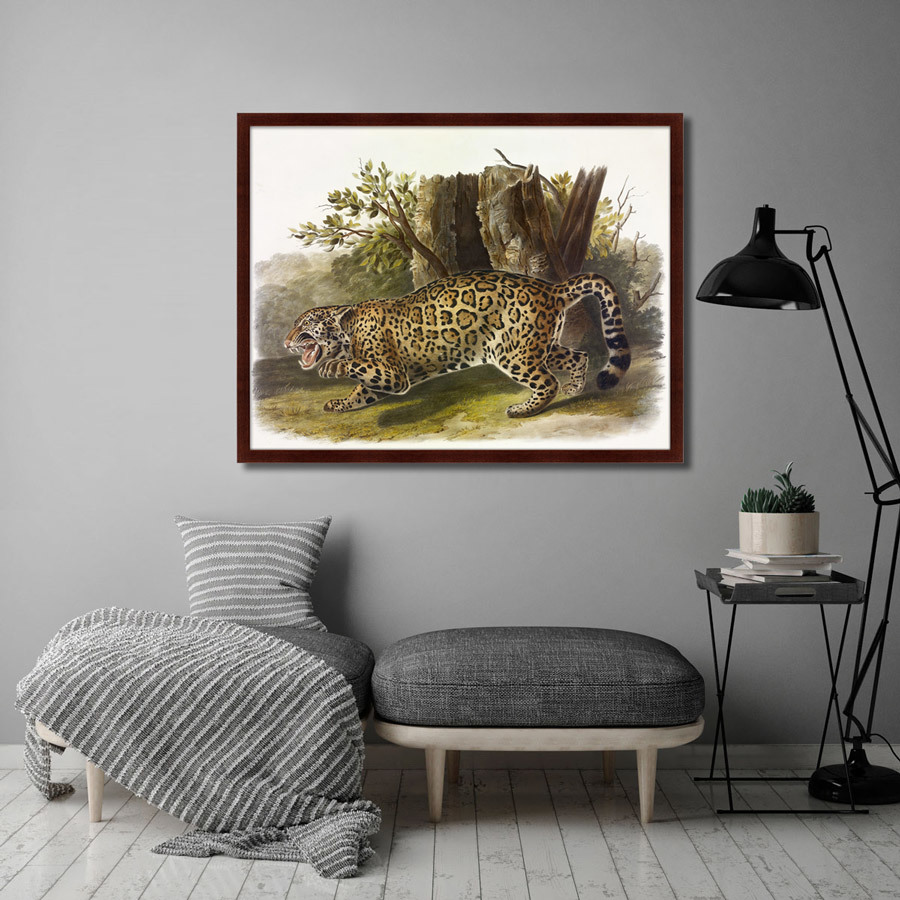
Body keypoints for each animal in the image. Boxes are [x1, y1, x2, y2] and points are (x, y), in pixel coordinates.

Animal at [283, 269, 630, 418]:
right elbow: (361, 392)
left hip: (513, 354)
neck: (349, 330)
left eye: (304, 325)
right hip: (534, 346)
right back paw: (574, 388)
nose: (286, 342)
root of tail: (551, 288)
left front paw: (332, 368)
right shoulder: (385, 377)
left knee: (547, 382)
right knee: (578, 356)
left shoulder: (393, 373)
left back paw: (522, 409)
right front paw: (339, 404)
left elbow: (356, 367)